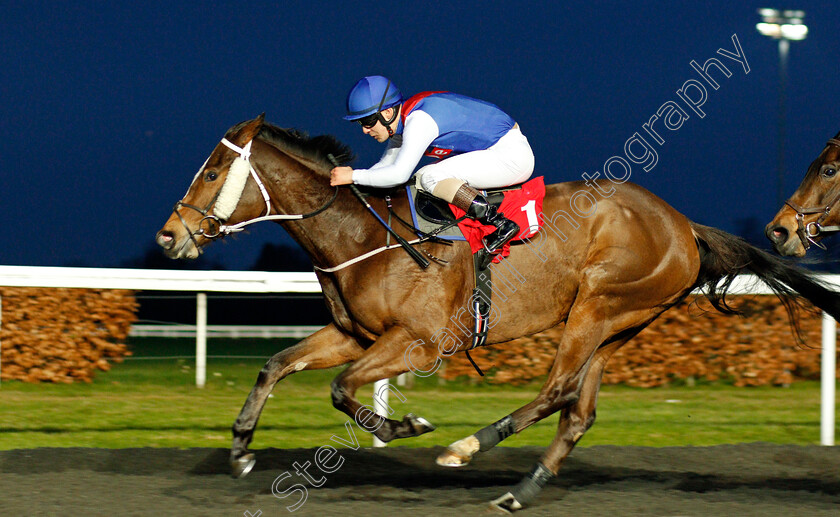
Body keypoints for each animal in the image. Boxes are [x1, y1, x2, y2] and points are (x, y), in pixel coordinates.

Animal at [159, 115, 840, 510]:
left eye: (213, 172)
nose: (169, 238)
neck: (363, 235)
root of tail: (683, 225)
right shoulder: (355, 333)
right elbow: (276, 365)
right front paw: (241, 450)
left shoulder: (416, 342)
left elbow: (341, 388)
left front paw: (405, 427)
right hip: (619, 323)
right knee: (579, 410)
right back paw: (523, 488)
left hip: (598, 304)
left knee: (557, 390)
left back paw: (467, 447)